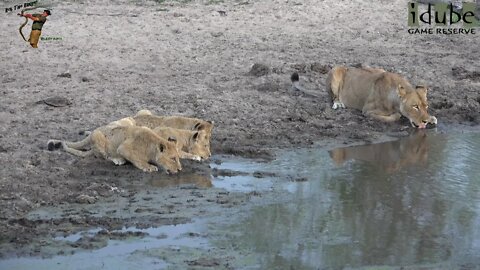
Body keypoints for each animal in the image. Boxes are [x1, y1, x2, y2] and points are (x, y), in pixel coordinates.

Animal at [47, 117, 182, 173]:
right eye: (172, 158)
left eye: (178, 158)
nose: (180, 169)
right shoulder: (124, 148)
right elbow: (137, 159)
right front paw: (148, 167)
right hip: (98, 137)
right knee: (104, 156)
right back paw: (118, 160)